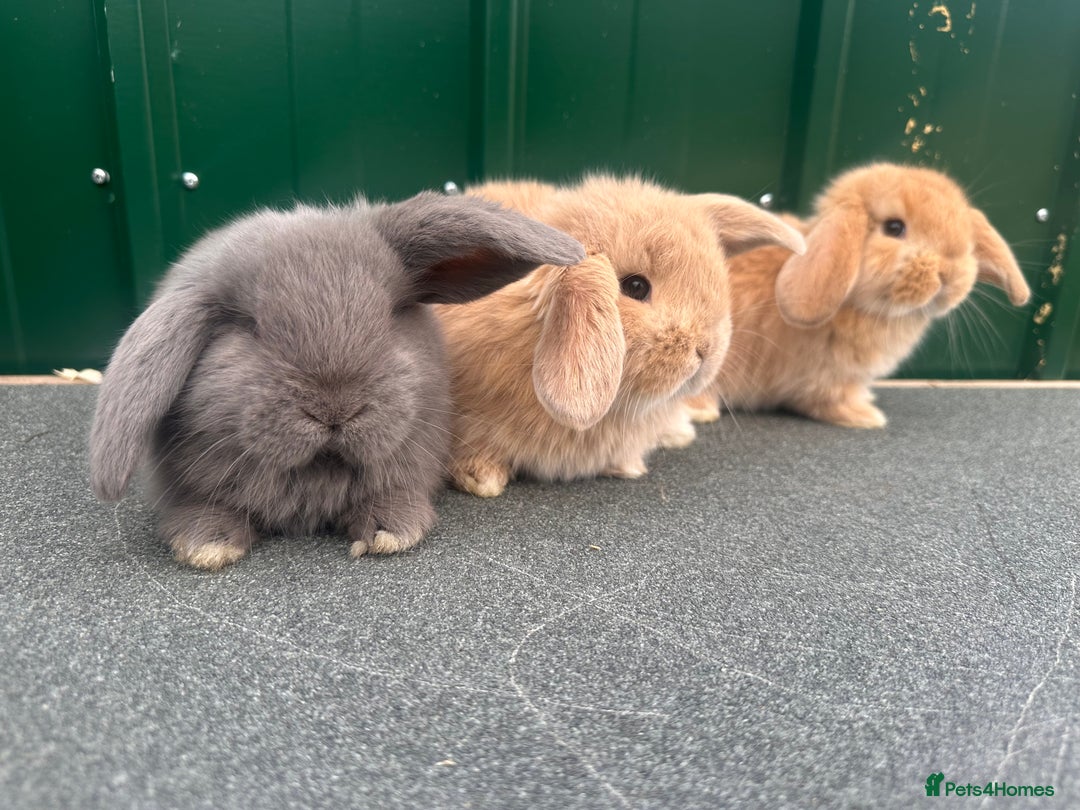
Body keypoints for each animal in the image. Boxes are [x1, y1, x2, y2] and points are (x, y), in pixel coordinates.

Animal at [89, 192, 585, 569]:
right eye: (251, 328)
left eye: (389, 314)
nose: (334, 410)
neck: (318, 474)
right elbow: (204, 510)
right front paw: (207, 547)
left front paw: (388, 534)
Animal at [682, 162, 1031, 429]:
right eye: (894, 227)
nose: (951, 273)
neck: (855, 303)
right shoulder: (827, 379)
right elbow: (828, 400)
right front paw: (866, 416)